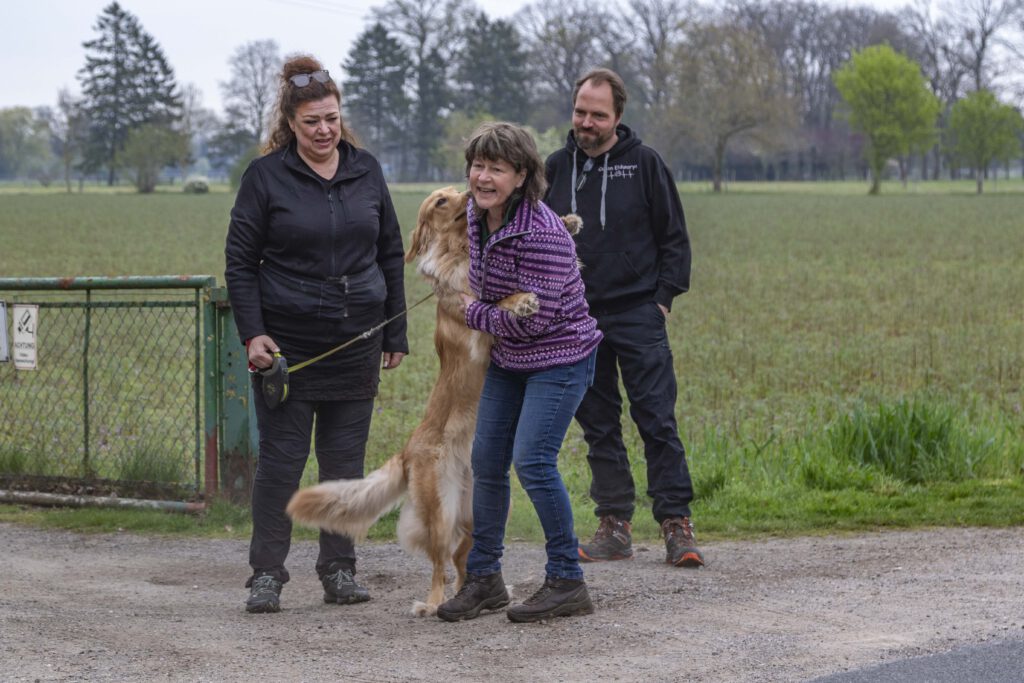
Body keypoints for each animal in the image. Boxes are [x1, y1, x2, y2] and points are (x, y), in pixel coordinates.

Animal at [288, 186, 581, 616]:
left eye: (459, 192)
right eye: (442, 201)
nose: (470, 191)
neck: (460, 251)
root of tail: (407, 450)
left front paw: (568, 221)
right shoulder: (474, 320)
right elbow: (494, 302)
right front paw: (521, 299)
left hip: (482, 511)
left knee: (462, 559)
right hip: (439, 511)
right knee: (439, 564)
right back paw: (432, 605)